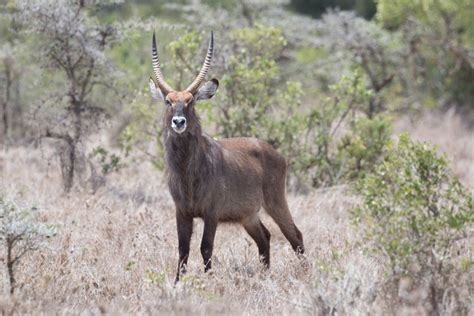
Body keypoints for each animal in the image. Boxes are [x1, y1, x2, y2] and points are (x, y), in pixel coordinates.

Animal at [147, 30, 304, 280]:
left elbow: (205, 247)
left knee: (295, 235)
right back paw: (264, 275)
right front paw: (177, 283)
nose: (179, 122)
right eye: (168, 101)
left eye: (190, 101)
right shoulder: (182, 212)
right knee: (265, 238)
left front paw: (208, 281)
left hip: (276, 201)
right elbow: (183, 249)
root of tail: (276, 153)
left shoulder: (212, 212)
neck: (188, 172)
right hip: (248, 215)